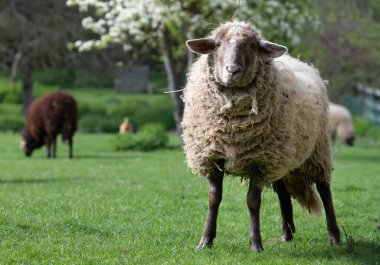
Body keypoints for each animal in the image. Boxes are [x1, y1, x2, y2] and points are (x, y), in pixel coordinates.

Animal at [181, 20, 342, 250]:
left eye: (252, 46)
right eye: (217, 44)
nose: (232, 70)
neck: (232, 125)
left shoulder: (259, 160)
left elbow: (252, 201)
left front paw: (256, 244)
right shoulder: (213, 157)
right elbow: (213, 199)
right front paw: (205, 240)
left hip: (317, 150)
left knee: (324, 190)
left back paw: (334, 235)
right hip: (281, 156)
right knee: (283, 193)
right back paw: (286, 233)